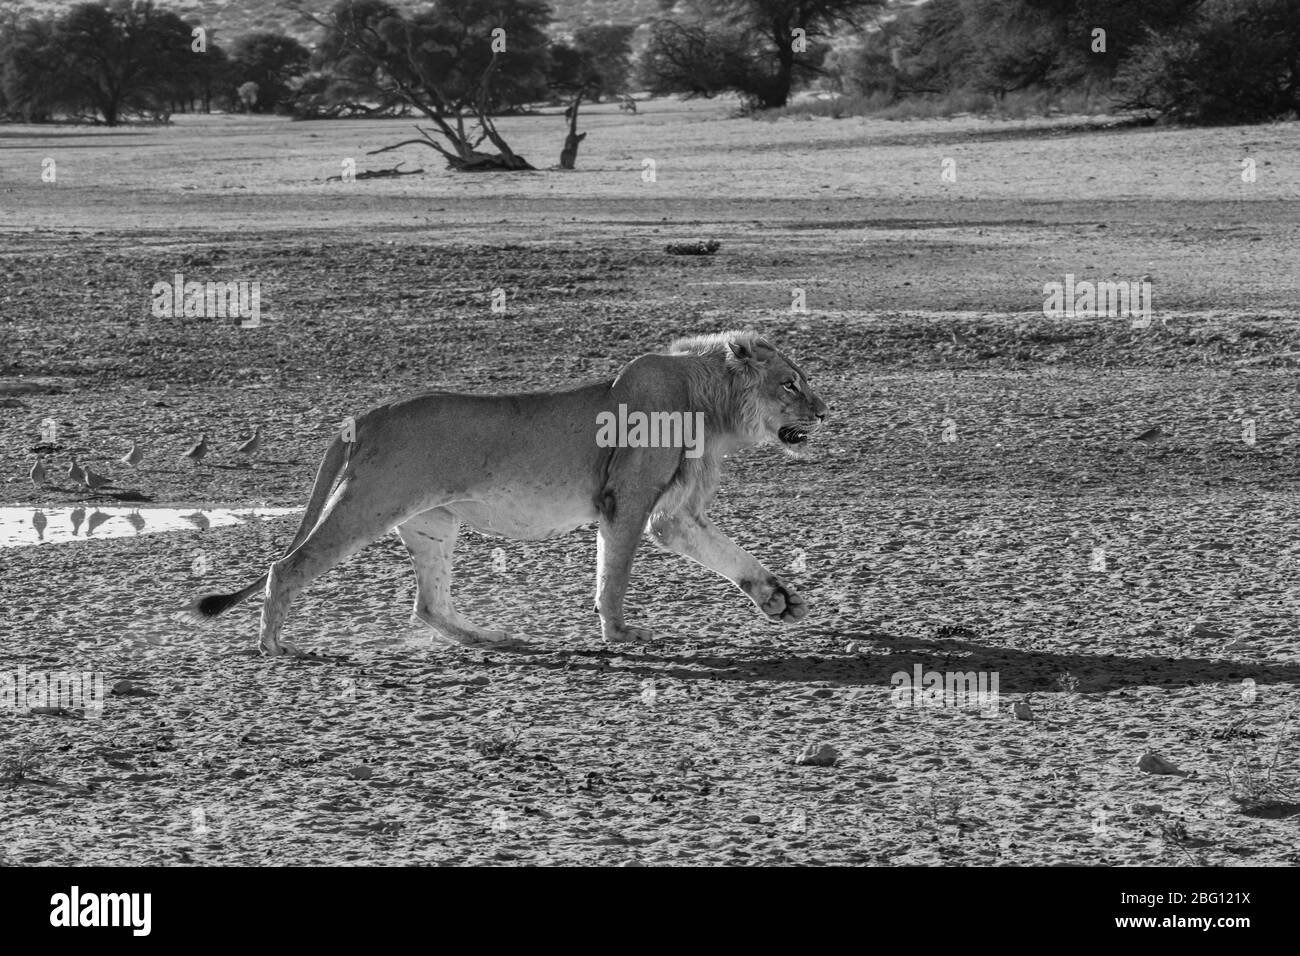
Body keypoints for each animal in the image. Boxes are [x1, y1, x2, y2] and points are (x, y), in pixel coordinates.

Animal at [194, 330, 828, 656]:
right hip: (368, 504)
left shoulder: (671, 514)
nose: (825, 411)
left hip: (432, 521)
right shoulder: (625, 501)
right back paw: (274, 646)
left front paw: (778, 599)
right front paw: (619, 632)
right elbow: (615, 573)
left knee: (429, 604)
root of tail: (365, 417)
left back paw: (489, 634)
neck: (710, 406)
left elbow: (726, 552)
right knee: (287, 566)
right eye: (790, 384)